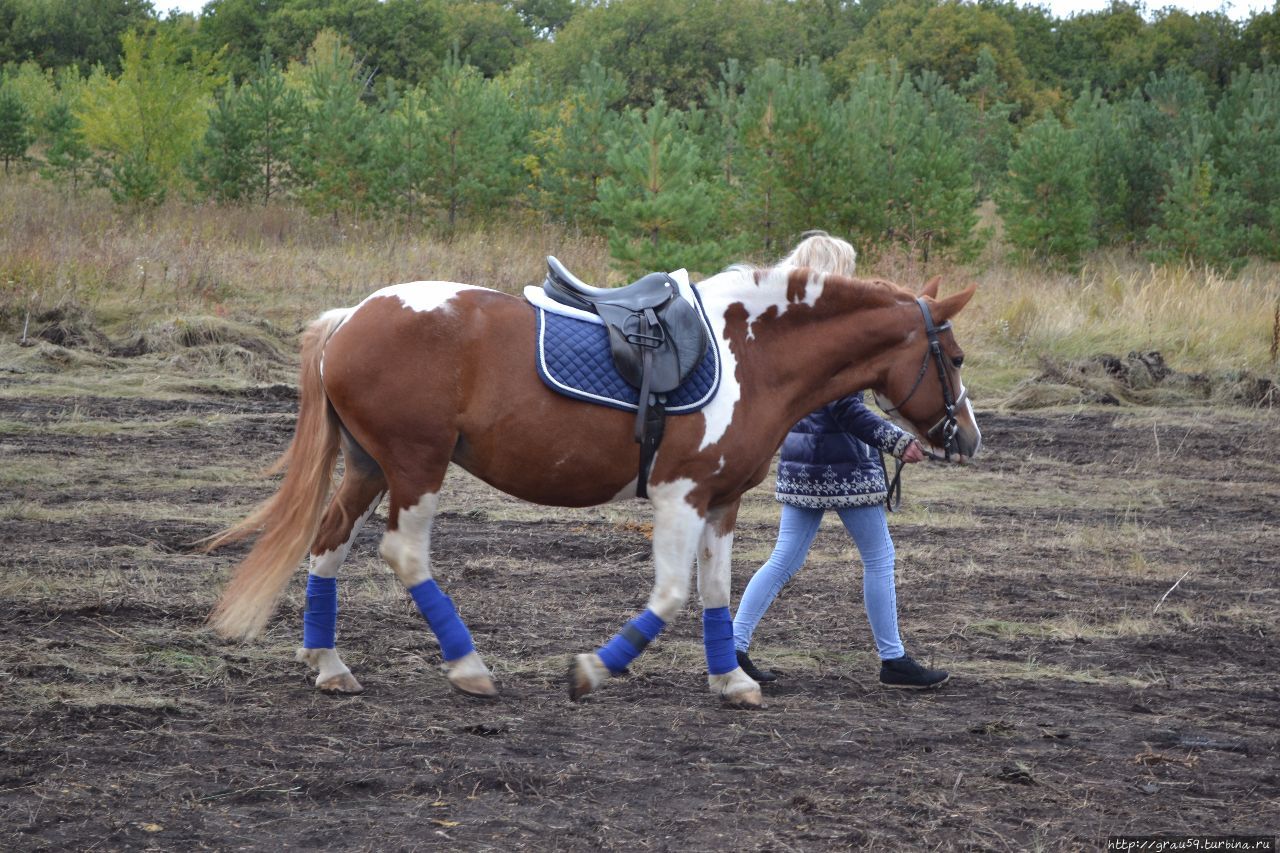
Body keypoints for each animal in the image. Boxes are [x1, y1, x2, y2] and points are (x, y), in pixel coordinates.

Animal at [207, 263, 977, 701]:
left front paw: (731, 678)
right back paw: (468, 667)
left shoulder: (721, 502)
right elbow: (670, 596)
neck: (751, 354)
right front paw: (593, 670)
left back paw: (329, 663)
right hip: (416, 466)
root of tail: (352, 318)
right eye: (957, 356)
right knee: (404, 554)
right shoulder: (680, 494)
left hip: (370, 466)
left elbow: (717, 592)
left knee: (329, 542)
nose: (968, 436)